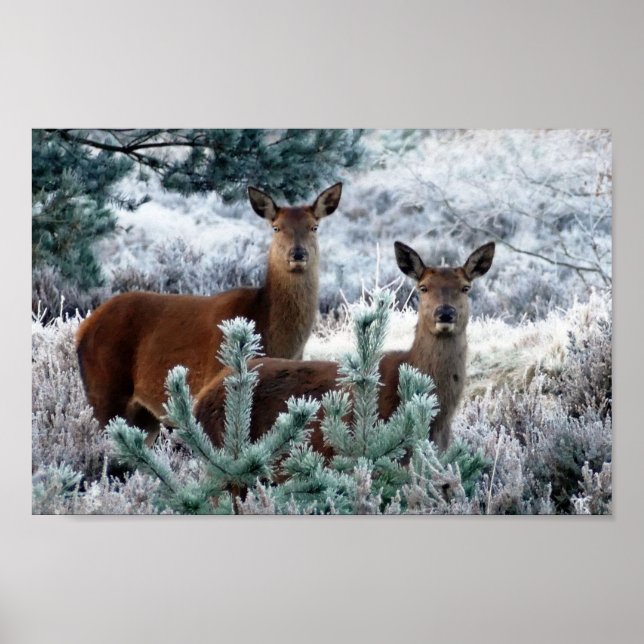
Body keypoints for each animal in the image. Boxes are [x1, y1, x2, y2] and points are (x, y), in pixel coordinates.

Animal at [76, 183, 343, 444]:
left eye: (314, 226)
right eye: (276, 227)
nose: (297, 254)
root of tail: (83, 328)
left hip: (144, 416)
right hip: (105, 390)